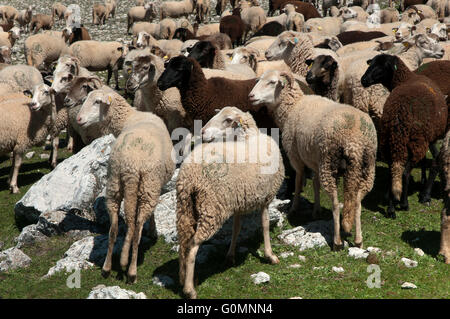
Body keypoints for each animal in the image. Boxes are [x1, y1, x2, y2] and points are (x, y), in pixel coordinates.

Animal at [76, 89, 175, 284]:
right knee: (136, 230)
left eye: (97, 102)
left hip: (115, 184)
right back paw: (132, 272)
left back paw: (106, 268)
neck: (130, 118)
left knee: (114, 229)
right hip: (148, 185)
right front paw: (153, 231)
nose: (78, 119)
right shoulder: (155, 186)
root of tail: (131, 165)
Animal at [177, 107, 284, 300]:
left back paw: (183, 278)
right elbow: (265, 225)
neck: (248, 139)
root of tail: (190, 175)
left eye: (227, 120)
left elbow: (237, 228)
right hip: (211, 208)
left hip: (185, 206)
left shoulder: (239, 202)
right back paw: (190, 289)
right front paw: (270, 255)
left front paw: (230, 255)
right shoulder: (266, 197)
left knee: (184, 241)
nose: (202, 132)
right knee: (193, 246)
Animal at [360, 55, 448, 220]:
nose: (363, 80)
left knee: (394, 172)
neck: (406, 78)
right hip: (414, 143)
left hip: (391, 142)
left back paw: (391, 207)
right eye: (371, 64)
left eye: (381, 66)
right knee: (405, 173)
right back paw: (404, 203)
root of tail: (398, 117)